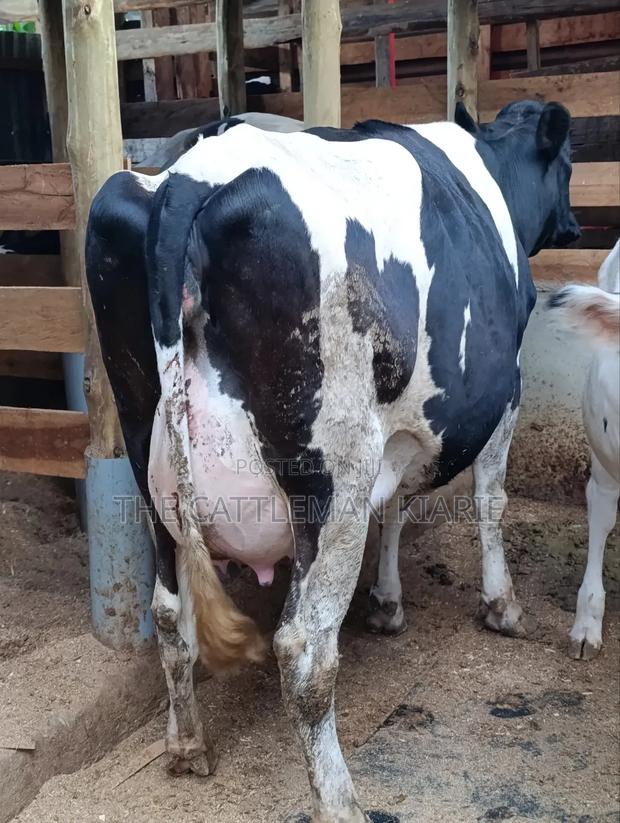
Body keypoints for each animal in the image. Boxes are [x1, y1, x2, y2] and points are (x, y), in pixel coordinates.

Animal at [86, 99, 580, 821]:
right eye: (568, 164)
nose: (574, 224)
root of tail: (188, 180)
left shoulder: (399, 430)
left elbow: (398, 506)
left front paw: (388, 603)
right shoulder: (506, 389)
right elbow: (489, 500)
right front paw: (502, 607)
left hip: (144, 454)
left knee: (171, 611)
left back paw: (187, 746)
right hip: (333, 471)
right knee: (303, 648)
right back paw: (341, 799)